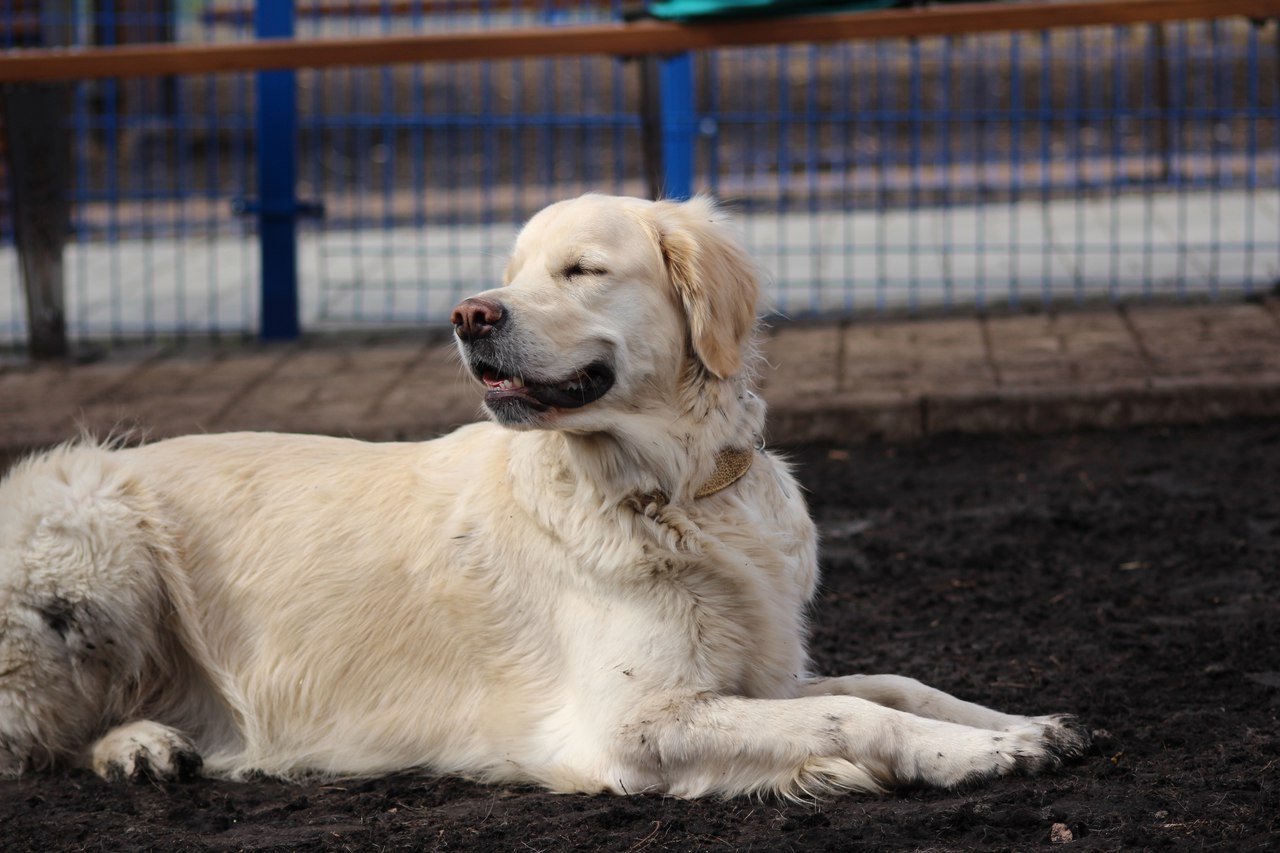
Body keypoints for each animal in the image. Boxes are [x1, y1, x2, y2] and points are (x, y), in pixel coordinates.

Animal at [0, 195, 1090, 794]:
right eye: (513, 270)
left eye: (581, 268)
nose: (468, 314)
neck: (672, 490)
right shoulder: (634, 721)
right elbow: (850, 717)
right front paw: (975, 757)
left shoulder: (751, 673)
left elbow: (891, 685)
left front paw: (1018, 725)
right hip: (93, 536)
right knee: (35, 734)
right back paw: (143, 743)